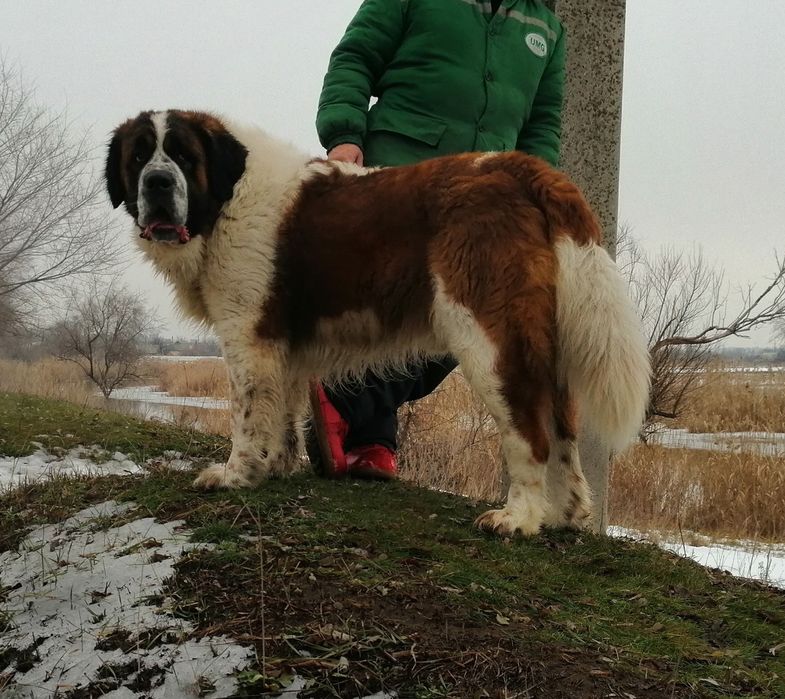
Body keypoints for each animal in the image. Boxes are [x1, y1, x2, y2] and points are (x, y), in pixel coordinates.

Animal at [107, 109, 652, 536]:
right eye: (139, 157)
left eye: (182, 157)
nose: (157, 183)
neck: (226, 201)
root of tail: (516, 166)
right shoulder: (280, 342)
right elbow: (283, 411)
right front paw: (278, 466)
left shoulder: (247, 337)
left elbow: (248, 414)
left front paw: (236, 475)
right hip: (537, 343)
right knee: (563, 429)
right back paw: (563, 514)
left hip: (487, 339)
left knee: (530, 431)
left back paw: (517, 518)